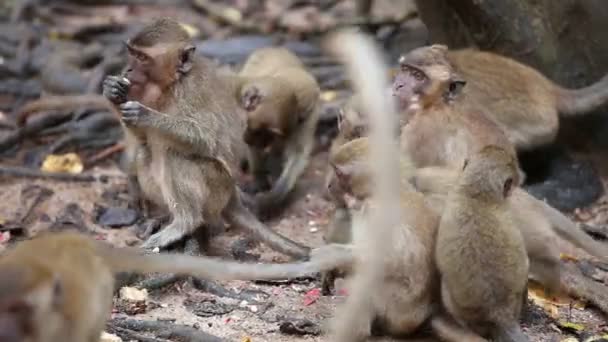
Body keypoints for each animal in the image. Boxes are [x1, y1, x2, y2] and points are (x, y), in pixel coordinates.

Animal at [101, 17, 308, 258]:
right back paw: (167, 217)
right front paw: (113, 92)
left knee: (175, 155)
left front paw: (146, 115)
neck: (172, 84)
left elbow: (204, 138)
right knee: (146, 152)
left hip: (217, 187)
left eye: (142, 58)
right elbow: (143, 138)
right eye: (132, 53)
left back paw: (185, 223)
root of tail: (233, 195)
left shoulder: (192, 91)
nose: (129, 68)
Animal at [234, 47, 324, 216]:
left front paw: (272, 198)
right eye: (252, 128)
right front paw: (259, 182)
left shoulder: (308, 115)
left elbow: (297, 153)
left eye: (264, 133)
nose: (246, 138)